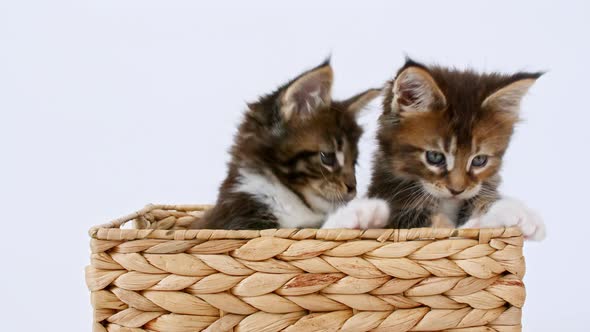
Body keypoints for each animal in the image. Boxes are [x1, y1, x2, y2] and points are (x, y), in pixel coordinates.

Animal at [194, 61, 380, 230]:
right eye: (328, 157)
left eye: (354, 161)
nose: (353, 188)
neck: (287, 199)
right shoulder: (240, 222)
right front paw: (358, 213)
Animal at [326, 57, 548, 239]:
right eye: (435, 157)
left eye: (479, 160)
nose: (456, 190)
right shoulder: (400, 208)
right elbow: (444, 229)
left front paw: (517, 214)